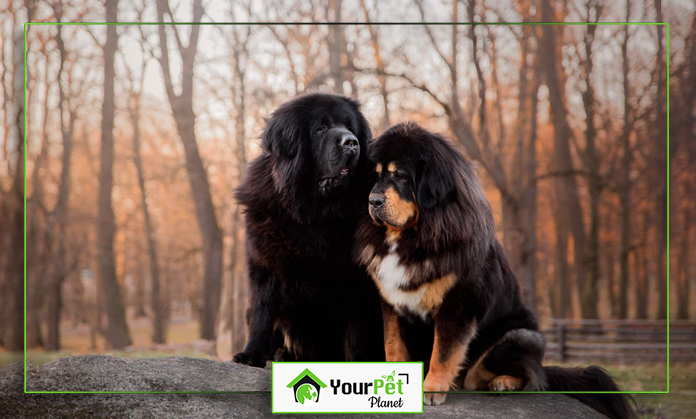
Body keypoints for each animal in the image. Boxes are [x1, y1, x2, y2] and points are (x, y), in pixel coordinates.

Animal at [234, 92, 386, 368]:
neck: (314, 213)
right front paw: (252, 354)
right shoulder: (264, 265)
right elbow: (262, 313)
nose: (351, 143)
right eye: (321, 128)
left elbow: (359, 328)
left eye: (350, 127)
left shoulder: (358, 278)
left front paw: (361, 361)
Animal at [356, 122, 632, 419]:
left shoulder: (458, 302)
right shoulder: (390, 300)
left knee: (532, 377)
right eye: (376, 176)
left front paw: (431, 389)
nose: (373, 200)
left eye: (401, 176)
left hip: (518, 336)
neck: (415, 236)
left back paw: (505, 382)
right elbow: (393, 344)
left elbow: (442, 352)